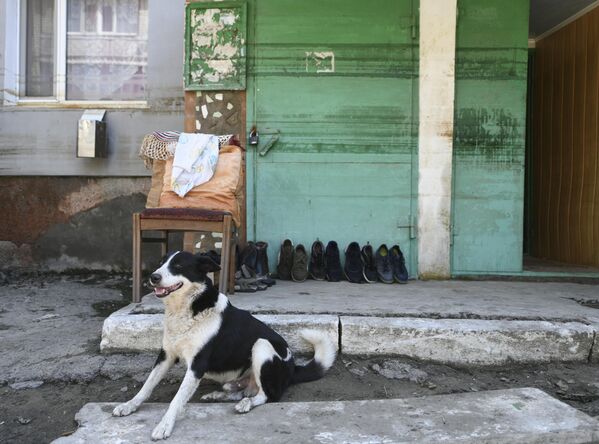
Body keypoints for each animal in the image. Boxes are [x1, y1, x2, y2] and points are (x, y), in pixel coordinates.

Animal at [113, 251, 338, 438]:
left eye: (178, 265)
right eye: (161, 264)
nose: (153, 277)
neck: (188, 309)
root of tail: (292, 367)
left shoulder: (197, 365)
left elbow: (176, 399)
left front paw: (164, 426)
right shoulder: (166, 355)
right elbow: (147, 385)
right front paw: (129, 405)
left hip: (262, 345)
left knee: (267, 395)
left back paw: (246, 404)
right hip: (240, 376)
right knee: (244, 390)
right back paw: (220, 395)